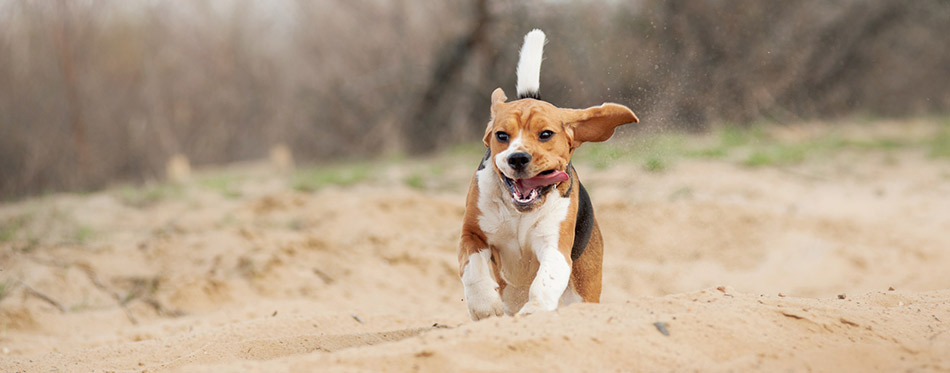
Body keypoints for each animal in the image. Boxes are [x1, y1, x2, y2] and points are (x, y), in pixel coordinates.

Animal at [460, 29, 640, 320]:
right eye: (501, 135)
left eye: (545, 134)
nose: (518, 158)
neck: (519, 213)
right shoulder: (472, 234)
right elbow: (472, 268)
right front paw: (484, 306)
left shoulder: (555, 246)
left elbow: (545, 280)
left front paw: (534, 311)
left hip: (586, 283)